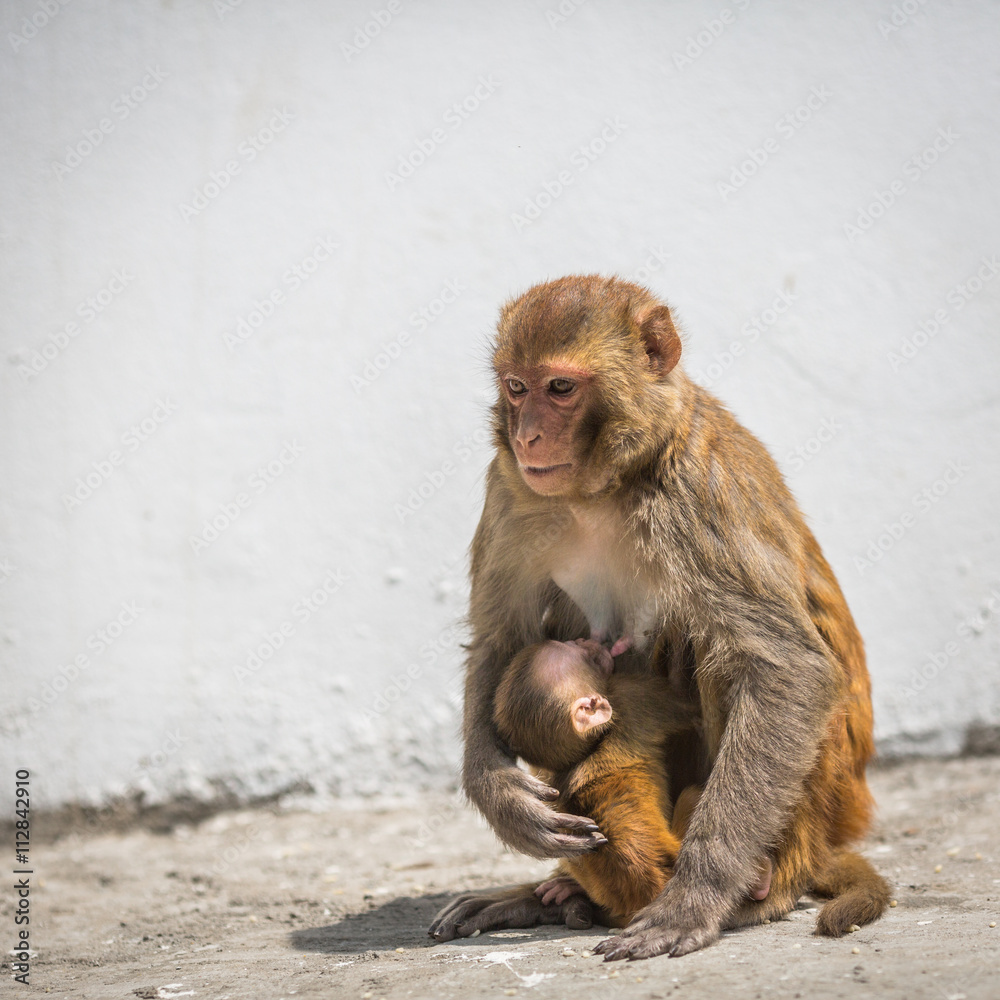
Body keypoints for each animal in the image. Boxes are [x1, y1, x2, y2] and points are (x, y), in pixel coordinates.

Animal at [429, 275, 889, 957]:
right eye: (516, 386)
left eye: (559, 388)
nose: (527, 436)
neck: (605, 486)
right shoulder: (511, 492)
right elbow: (501, 638)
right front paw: (501, 795)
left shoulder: (694, 496)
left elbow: (788, 669)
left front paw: (696, 895)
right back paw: (556, 894)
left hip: (820, 801)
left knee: (715, 651)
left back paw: (760, 892)